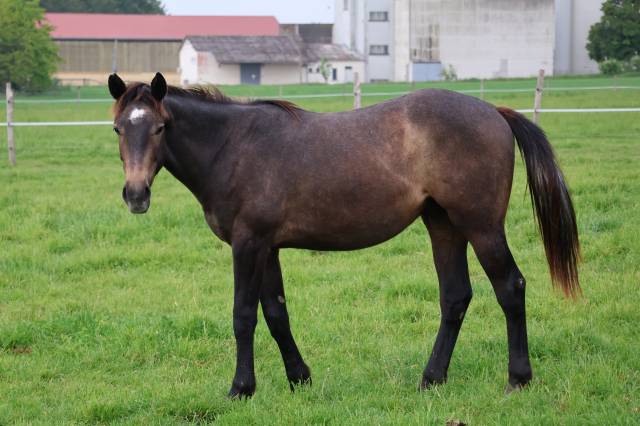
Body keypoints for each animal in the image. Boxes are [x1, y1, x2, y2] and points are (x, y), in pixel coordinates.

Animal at [107, 72, 580, 398]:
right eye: (118, 129)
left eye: (160, 127)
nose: (136, 195)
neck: (233, 147)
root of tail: (494, 112)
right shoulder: (268, 248)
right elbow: (276, 314)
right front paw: (299, 379)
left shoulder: (249, 244)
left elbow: (243, 316)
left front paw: (241, 388)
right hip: (443, 224)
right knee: (455, 297)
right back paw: (431, 379)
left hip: (481, 226)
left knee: (510, 287)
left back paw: (517, 379)